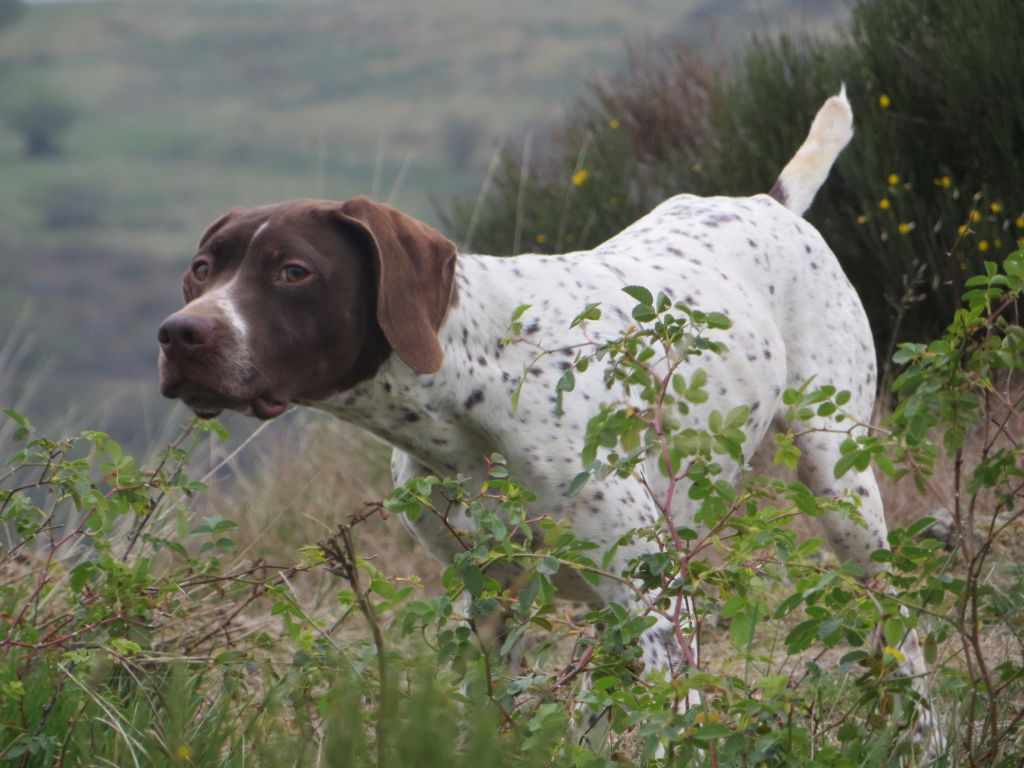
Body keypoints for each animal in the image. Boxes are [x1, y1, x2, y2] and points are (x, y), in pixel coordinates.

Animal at [157, 85, 937, 753]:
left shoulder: (656, 606)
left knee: (905, 633)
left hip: (840, 485)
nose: (179, 336)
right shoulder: (493, 604)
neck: (469, 383)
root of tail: (768, 202)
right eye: (202, 268)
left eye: (293, 272)